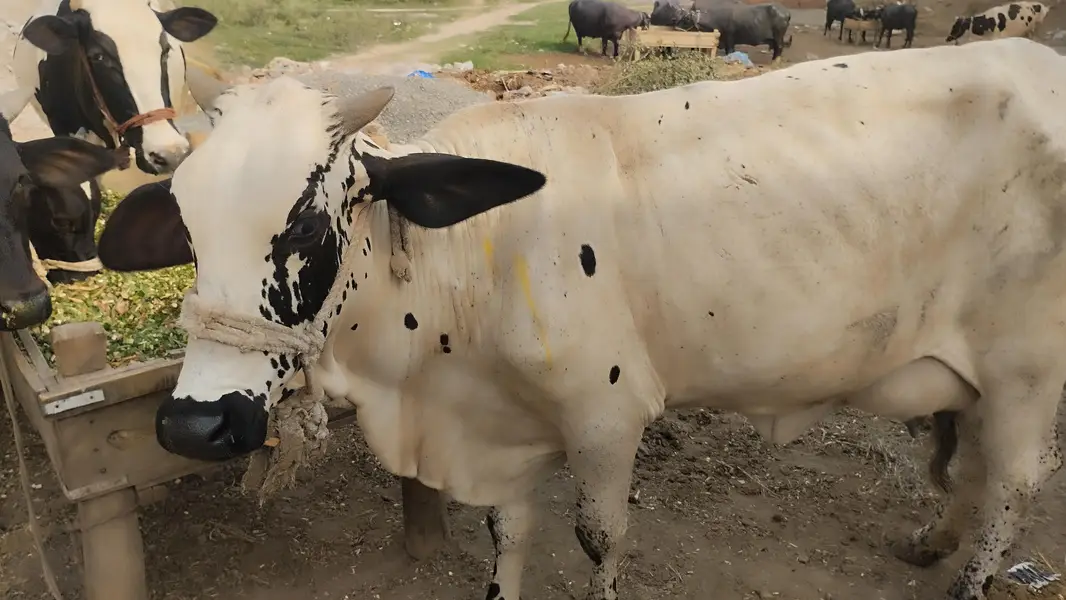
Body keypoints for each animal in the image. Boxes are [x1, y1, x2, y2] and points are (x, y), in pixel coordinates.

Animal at [98, 38, 1066, 600]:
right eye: (185, 222)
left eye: (302, 224)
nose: (194, 425)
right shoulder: (501, 428)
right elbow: (508, 532)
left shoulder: (608, 417)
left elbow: (599, 538)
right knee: (975, 466)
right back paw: (930, 542)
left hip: (1027, 368)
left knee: (1013, 484)